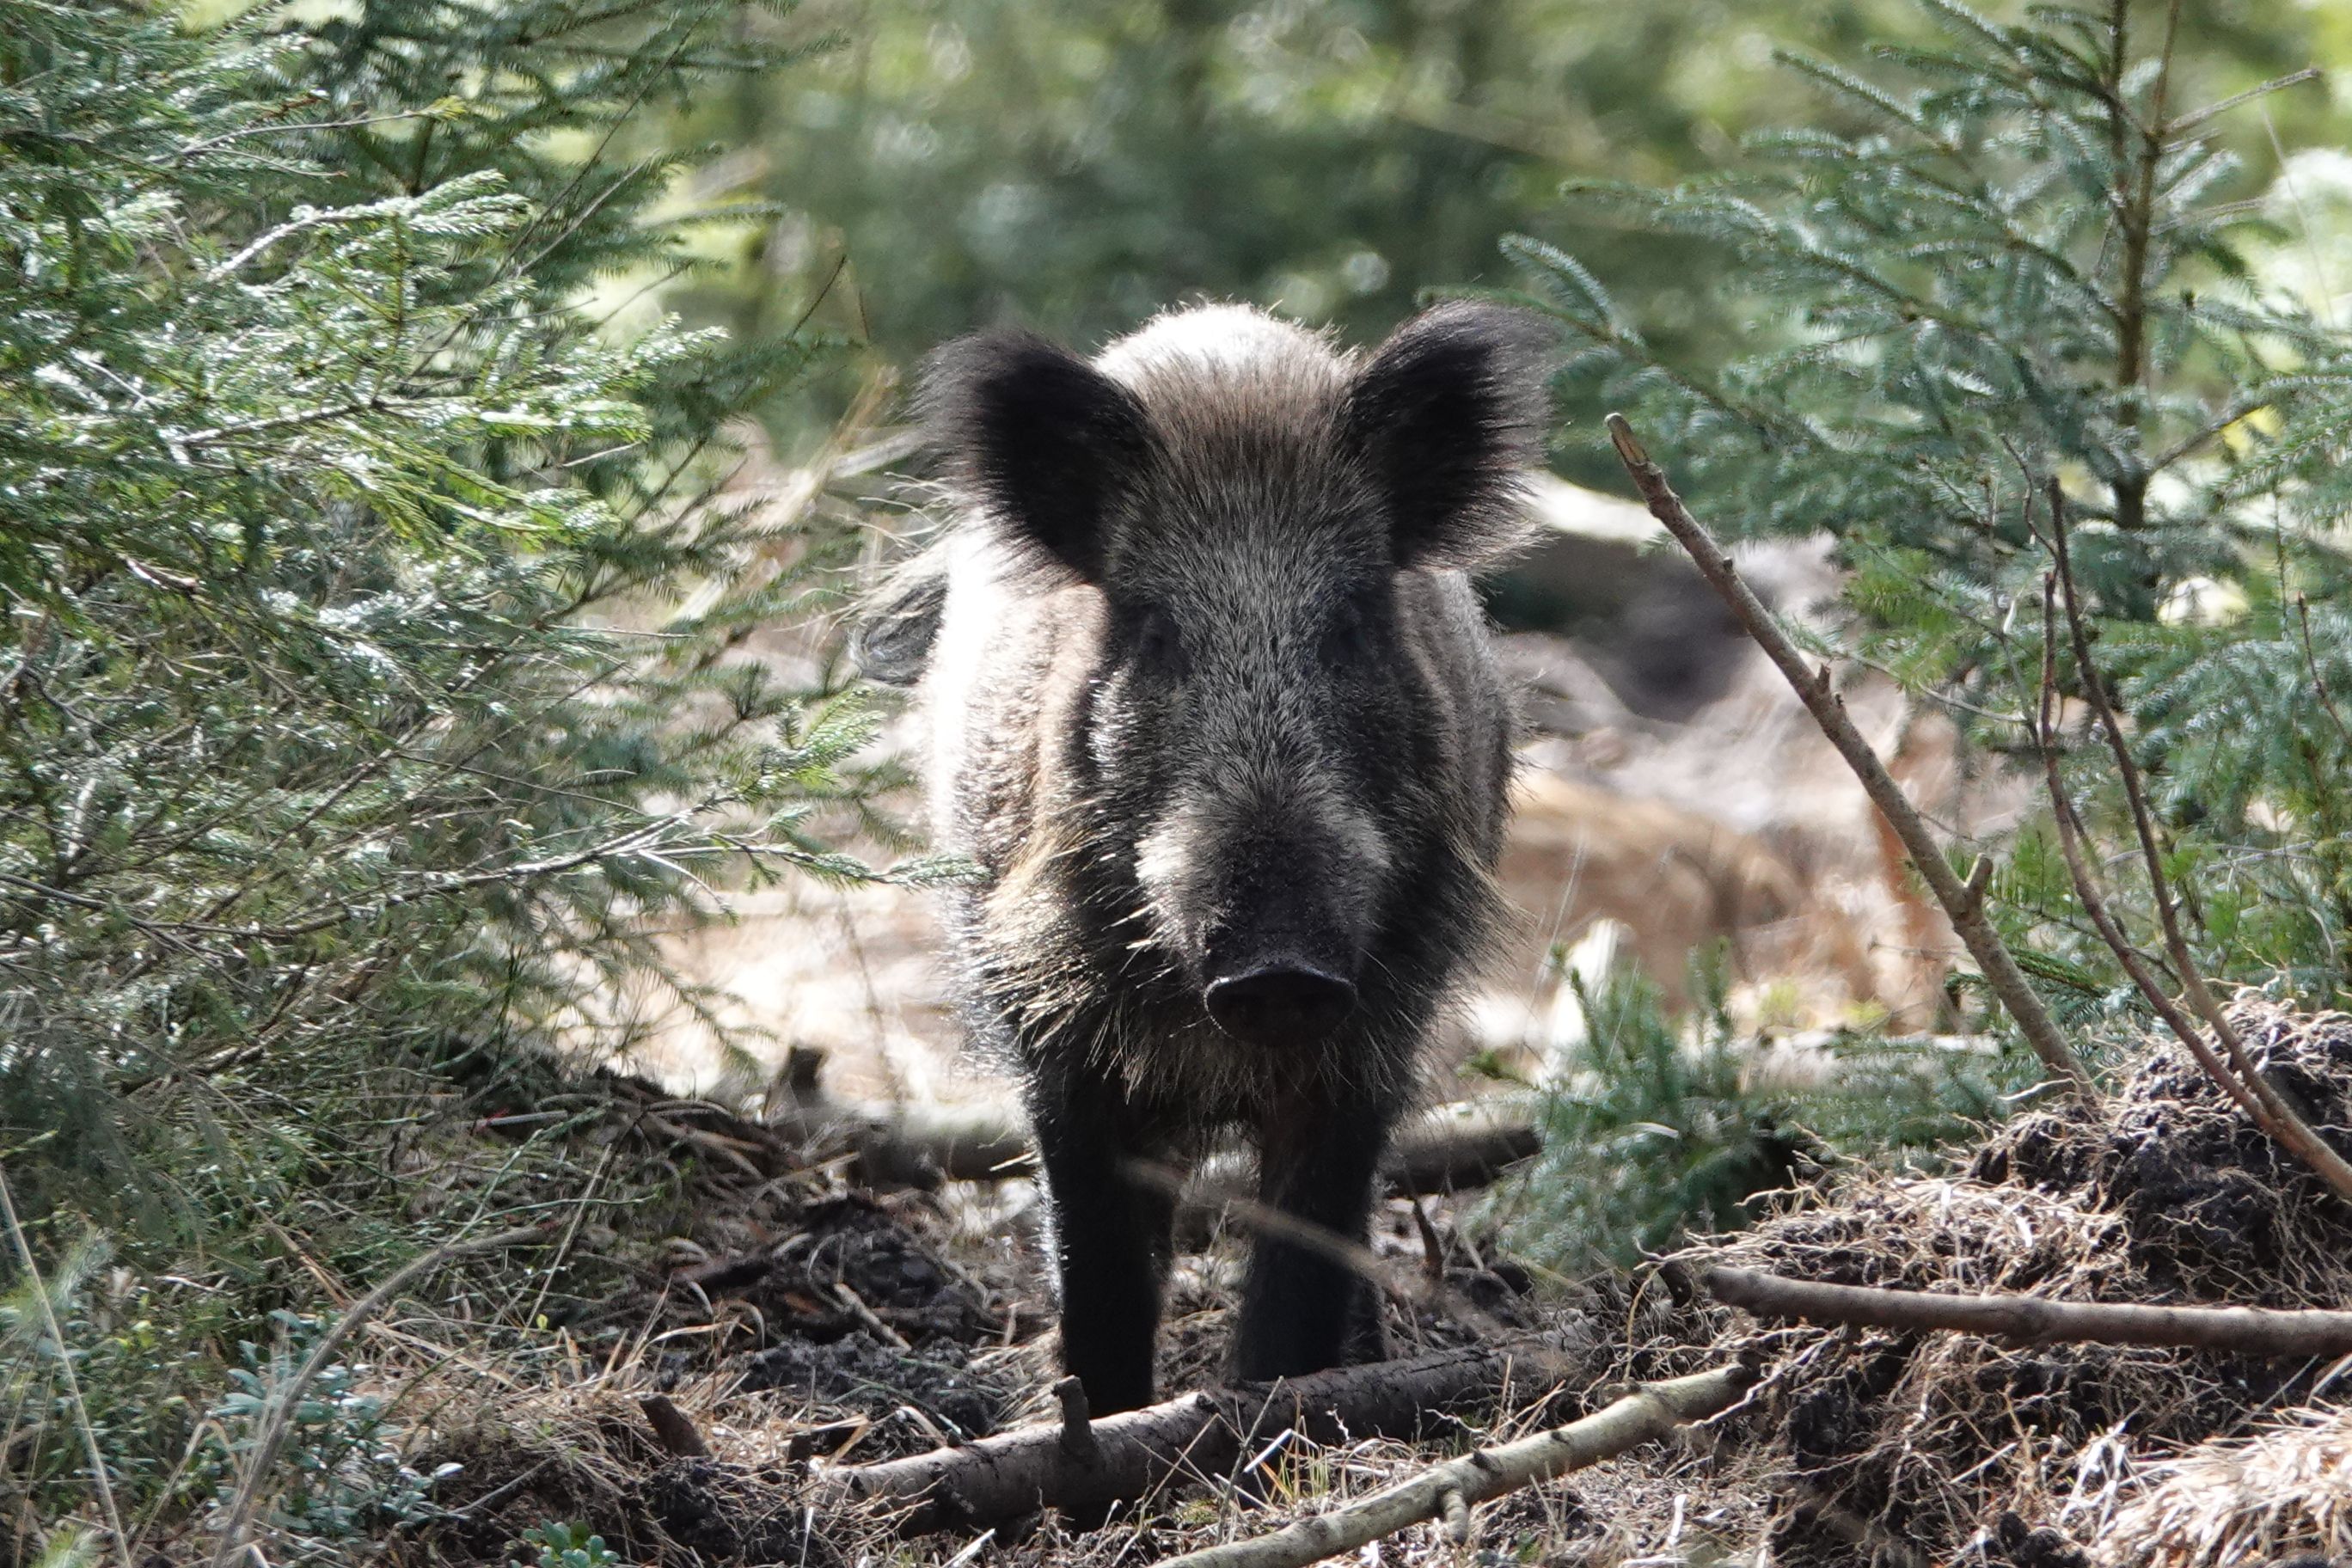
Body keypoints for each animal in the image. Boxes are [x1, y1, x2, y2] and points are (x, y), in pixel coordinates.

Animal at [858, 302, 1551, 1414]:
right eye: (1152, 628)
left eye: (1352, 621)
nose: (1276, 966)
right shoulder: (1054, 1035)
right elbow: (1096, 1262)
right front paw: (1103, 1421)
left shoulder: (1373, 1033)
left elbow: (1304, 1255)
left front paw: (1274, 1408)